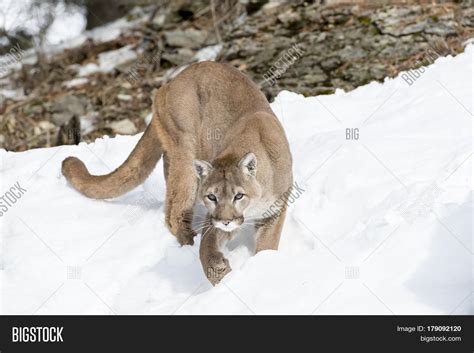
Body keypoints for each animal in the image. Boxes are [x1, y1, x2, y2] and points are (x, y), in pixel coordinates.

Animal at [63, 61, 292, 284]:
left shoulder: (274, 210)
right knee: (174, 213)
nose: (225, 220)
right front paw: (218, 271)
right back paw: (189, 242)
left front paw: (263, 264)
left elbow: (267, 245)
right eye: (212, 197)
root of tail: (172, 81)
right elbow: (207, 244)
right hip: (185, 154)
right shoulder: (214, 217)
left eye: (239, 196)